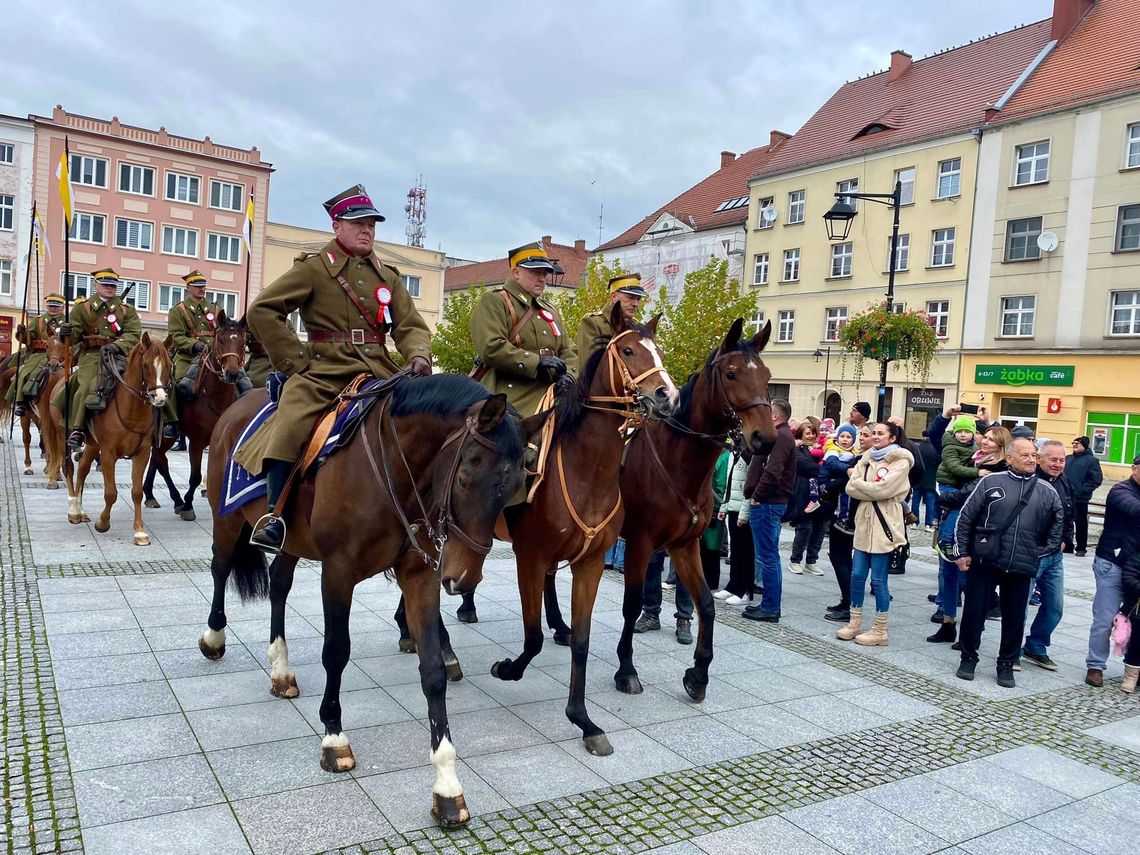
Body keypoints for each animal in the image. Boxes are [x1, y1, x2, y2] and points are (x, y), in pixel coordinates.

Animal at [60, 330, 172, 544]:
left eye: (169, 365)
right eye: (146, 365)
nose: (160, 398)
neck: (132, 411)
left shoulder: (142, 454)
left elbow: (137, 492)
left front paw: (139, 531)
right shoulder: (108, 454)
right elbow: (111, 493)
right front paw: (103, 523)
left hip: (92, 444)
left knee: (83, 468)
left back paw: (80, 510)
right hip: (58, 434)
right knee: (68, 467)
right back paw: (73, 510)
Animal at [144, 321, 247, 522]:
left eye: (242, 343)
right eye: (220, 340)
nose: (232, 373)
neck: (216, 398)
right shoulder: (197, 442)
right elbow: (195, 477)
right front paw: (188, 506)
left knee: (156, 459)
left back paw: (150, 495)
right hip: (165, 434)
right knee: (161, 461)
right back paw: (177, 500)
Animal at [199, 373, 542, 829]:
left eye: (513, 489)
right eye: (466, 479)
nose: (462, 578)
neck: (396, 472)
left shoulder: (420, 577)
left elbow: (433, 672)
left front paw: (446, 783)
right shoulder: (337, 573)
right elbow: (335, 653)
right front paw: (333, 737)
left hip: (292, 539)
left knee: (279, 584)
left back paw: (281, 669)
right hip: (227, 519)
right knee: (220, 568)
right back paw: (214, 637)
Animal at [487, 305, 674, 756]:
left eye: (659, 351)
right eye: (628, 350)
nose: (668, 396)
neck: (586, 471)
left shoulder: (589, 563)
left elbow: (583, 643)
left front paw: (583, 720)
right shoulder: (527, 556)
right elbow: (531, 637)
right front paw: (507, 669)